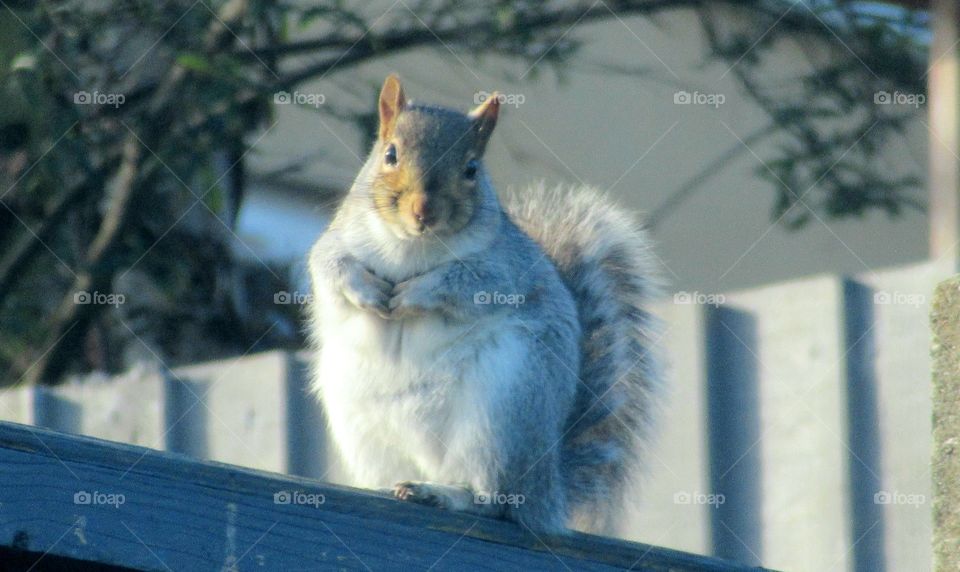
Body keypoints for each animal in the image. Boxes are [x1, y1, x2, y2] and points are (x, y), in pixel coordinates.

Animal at [308, 76, 660, 536]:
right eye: (390, 154)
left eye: (471, 169)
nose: (424, 210)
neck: (413, 245)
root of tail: (546, 490)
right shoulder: (337, 239)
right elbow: (328, 267)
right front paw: (367, 289)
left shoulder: (503, 268)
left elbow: (467, 284)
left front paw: (414, 294)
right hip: (363, 426)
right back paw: (399, 487)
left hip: (501, 414)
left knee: (495, 500)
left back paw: (446, 493)